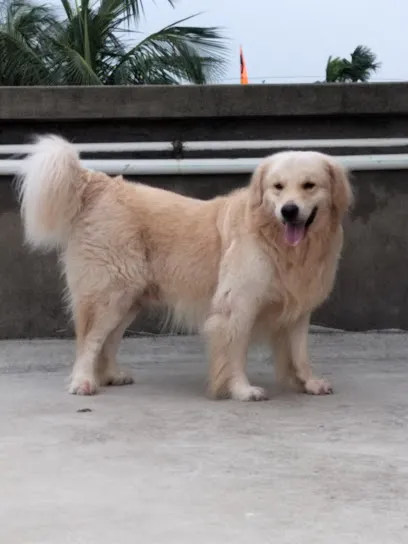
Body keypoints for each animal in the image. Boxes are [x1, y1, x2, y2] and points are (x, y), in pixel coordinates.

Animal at [17, 135, 352, 400]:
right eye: (278, 187)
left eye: (309, 186)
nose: (289, 210)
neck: (276, 241)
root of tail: (99, 183)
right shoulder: (238, 305)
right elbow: (235, 351)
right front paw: (242, 390)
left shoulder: (298, 308)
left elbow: (300, 352)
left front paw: (309, 382)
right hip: (110, 294)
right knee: (90, 340)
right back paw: (83, 382)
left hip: (129, 299)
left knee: (109, 340)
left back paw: (111, 375)